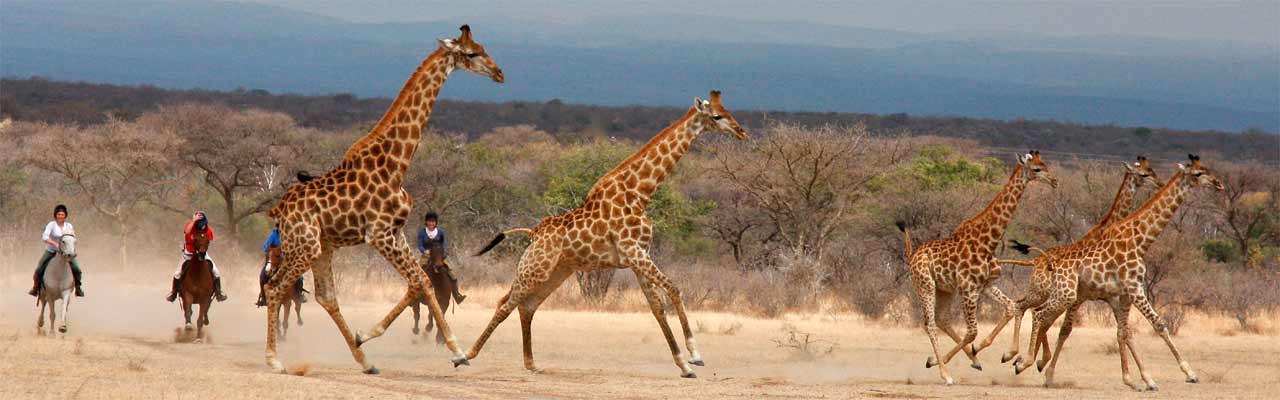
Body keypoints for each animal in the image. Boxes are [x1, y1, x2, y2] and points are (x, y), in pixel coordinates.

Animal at [264, 25, 504, 374]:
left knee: (326, 296)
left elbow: (422, 282)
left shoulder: (397, 231)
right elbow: (418, 282)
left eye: (484, 47)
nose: (499, 73)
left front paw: (457, 353)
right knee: (275, 287)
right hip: (303, 245)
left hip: (322, 247)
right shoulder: (379, 234)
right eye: (472, 53)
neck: (396, 163)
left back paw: (366, 362)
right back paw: (274, 360)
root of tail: (279, 209)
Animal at [465, 90, 747, 376]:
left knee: (526, 306)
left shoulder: (639, 256)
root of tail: (534, 232)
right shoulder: (634, 252)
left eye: (729, 111)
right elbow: (674, 290)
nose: (741, 132)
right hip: (535, 269)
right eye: (717, 116)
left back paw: (531, 363)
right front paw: (694, 355)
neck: (639, 194)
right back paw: (465, 355)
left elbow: (657, 307)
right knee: (505, 305)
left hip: (556, 271)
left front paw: (683, 364)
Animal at [896, 151, 1054, 387]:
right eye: (1036, 169)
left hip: (945, 289)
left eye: (1045, 164)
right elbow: (972, 331)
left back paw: (967, 361)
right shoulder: (969, 288)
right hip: (925, 285)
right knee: (930, 324)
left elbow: (1011, 308)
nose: (1054, 181)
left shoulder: (986, 284)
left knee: (942, 319)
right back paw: (945, 373)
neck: (987, 242)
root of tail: (913, 256)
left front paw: (1006, 354)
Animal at [972, 155, 1167, 366]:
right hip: (1043, 293)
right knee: (1025, 308)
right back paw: (1013, 355)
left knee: (1028, 310)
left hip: (1046, 294)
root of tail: (1035, 261)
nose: (1160, 183)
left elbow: (1120, 330)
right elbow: (1066, 327)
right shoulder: (1084, 295)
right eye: (1144, 174)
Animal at [1024, 153, 1223, 389]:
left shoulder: (1123, 294)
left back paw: (1033, 364)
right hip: (1065, 296)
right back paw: (1027, 363)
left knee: (1041, 316)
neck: (1140, 240)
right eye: (1198, 173)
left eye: (1207, 169)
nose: (1218, 183)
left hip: (1066, 296)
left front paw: (1140, 379)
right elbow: (1158, 325)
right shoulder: (1133, 289)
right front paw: (1188, 373)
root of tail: (1041, 260)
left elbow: (1124, 332)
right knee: (1041, 317)